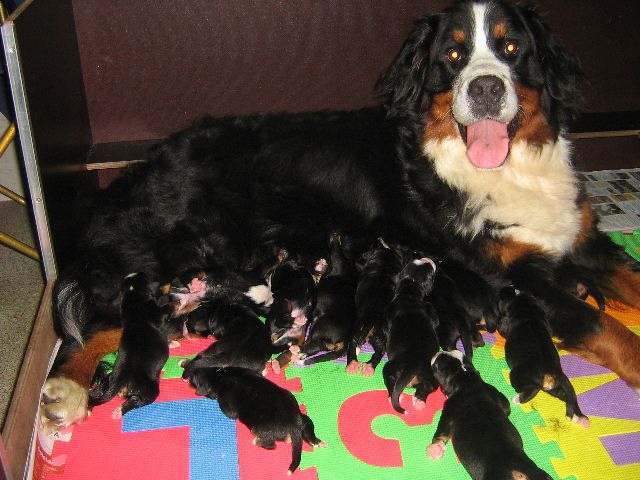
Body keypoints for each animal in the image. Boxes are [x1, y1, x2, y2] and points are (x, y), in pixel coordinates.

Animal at [88, 273, 170, 418]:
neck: (135, 296)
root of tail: (121, 380)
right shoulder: (158, 312)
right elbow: (167, 308)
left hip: (110, 377)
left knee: (104, 388)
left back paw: (95, 393)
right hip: (151, 389)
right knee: (136, 401)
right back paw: (120, 410)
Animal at [184, 366, 327, 474]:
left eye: (192, 380)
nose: (186, 378)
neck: (220, 375)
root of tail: (294, 423)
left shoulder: (227, 405)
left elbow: (226, 409)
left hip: (259, 429)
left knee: (271, 444)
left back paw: (257, 441)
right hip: (303, 417)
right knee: (308, 427)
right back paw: (317, 442)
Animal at [383, 257, 440, 414]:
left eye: (431, 273)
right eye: (417, 260)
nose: (428, 259)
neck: (409, 292)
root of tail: (412, 364)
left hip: (390, 366)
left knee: (389, 380)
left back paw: (395, 396)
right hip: (431, 372)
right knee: (429, 385)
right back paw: (419, 400)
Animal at [428, 350, 553, 480]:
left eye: (436, 366)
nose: (440, 351)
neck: (465, 380)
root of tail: (518, 472)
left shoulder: (450, 408)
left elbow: (442, 431)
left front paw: (435, 449)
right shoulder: (495, 393)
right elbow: (506, 407)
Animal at [497, 287, 589, 427]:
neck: (528, 310)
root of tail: (554, 371)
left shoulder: (506, 322)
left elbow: (501, 327)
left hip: (518, 376)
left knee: (533, 389)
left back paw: (518, 399)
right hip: (556, 388)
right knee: (569, 397)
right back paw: (579, 419)